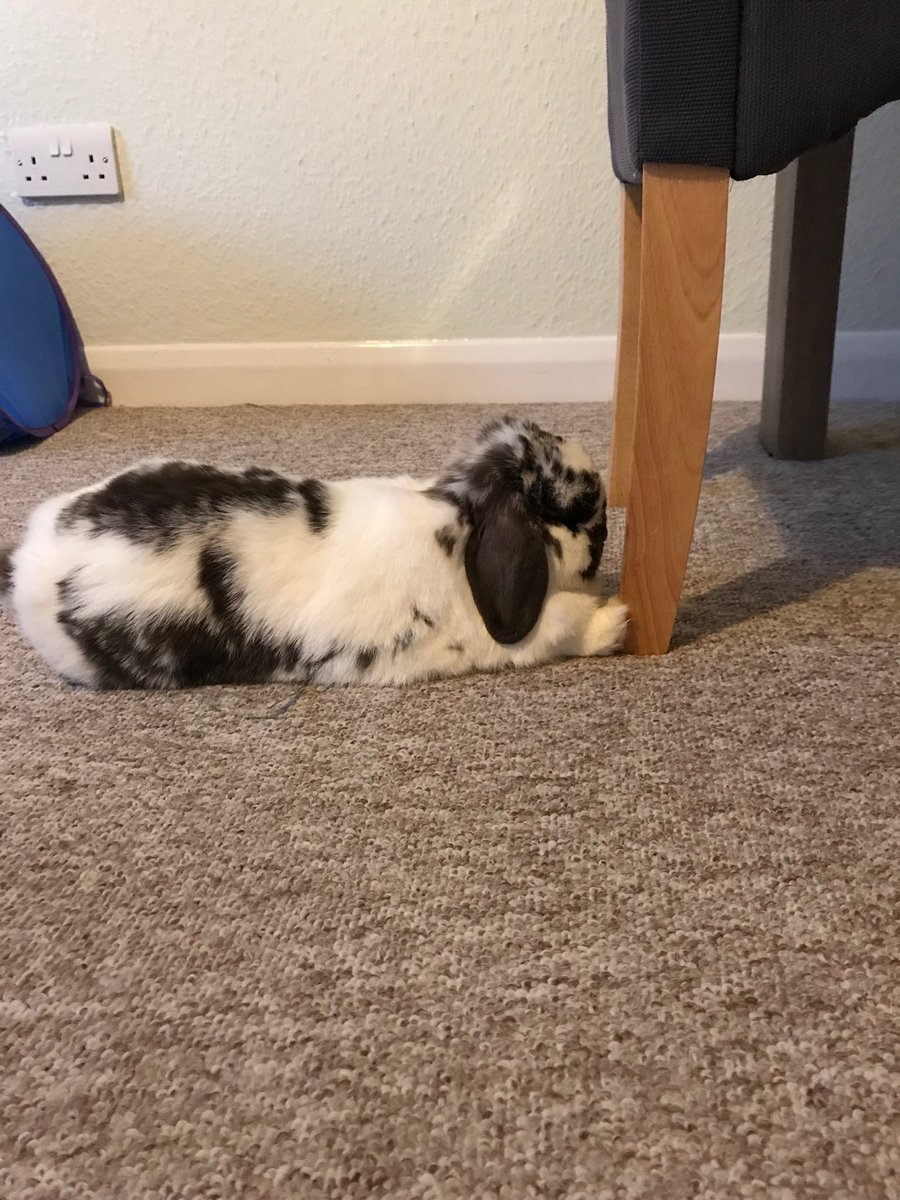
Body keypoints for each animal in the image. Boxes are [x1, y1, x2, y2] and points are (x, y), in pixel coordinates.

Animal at [0, 415, 627, 690]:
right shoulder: (483, 638)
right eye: (573, 509)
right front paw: (617, 621)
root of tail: (29, 555)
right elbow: (560, 625)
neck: (459, 530)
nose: (603, 534)